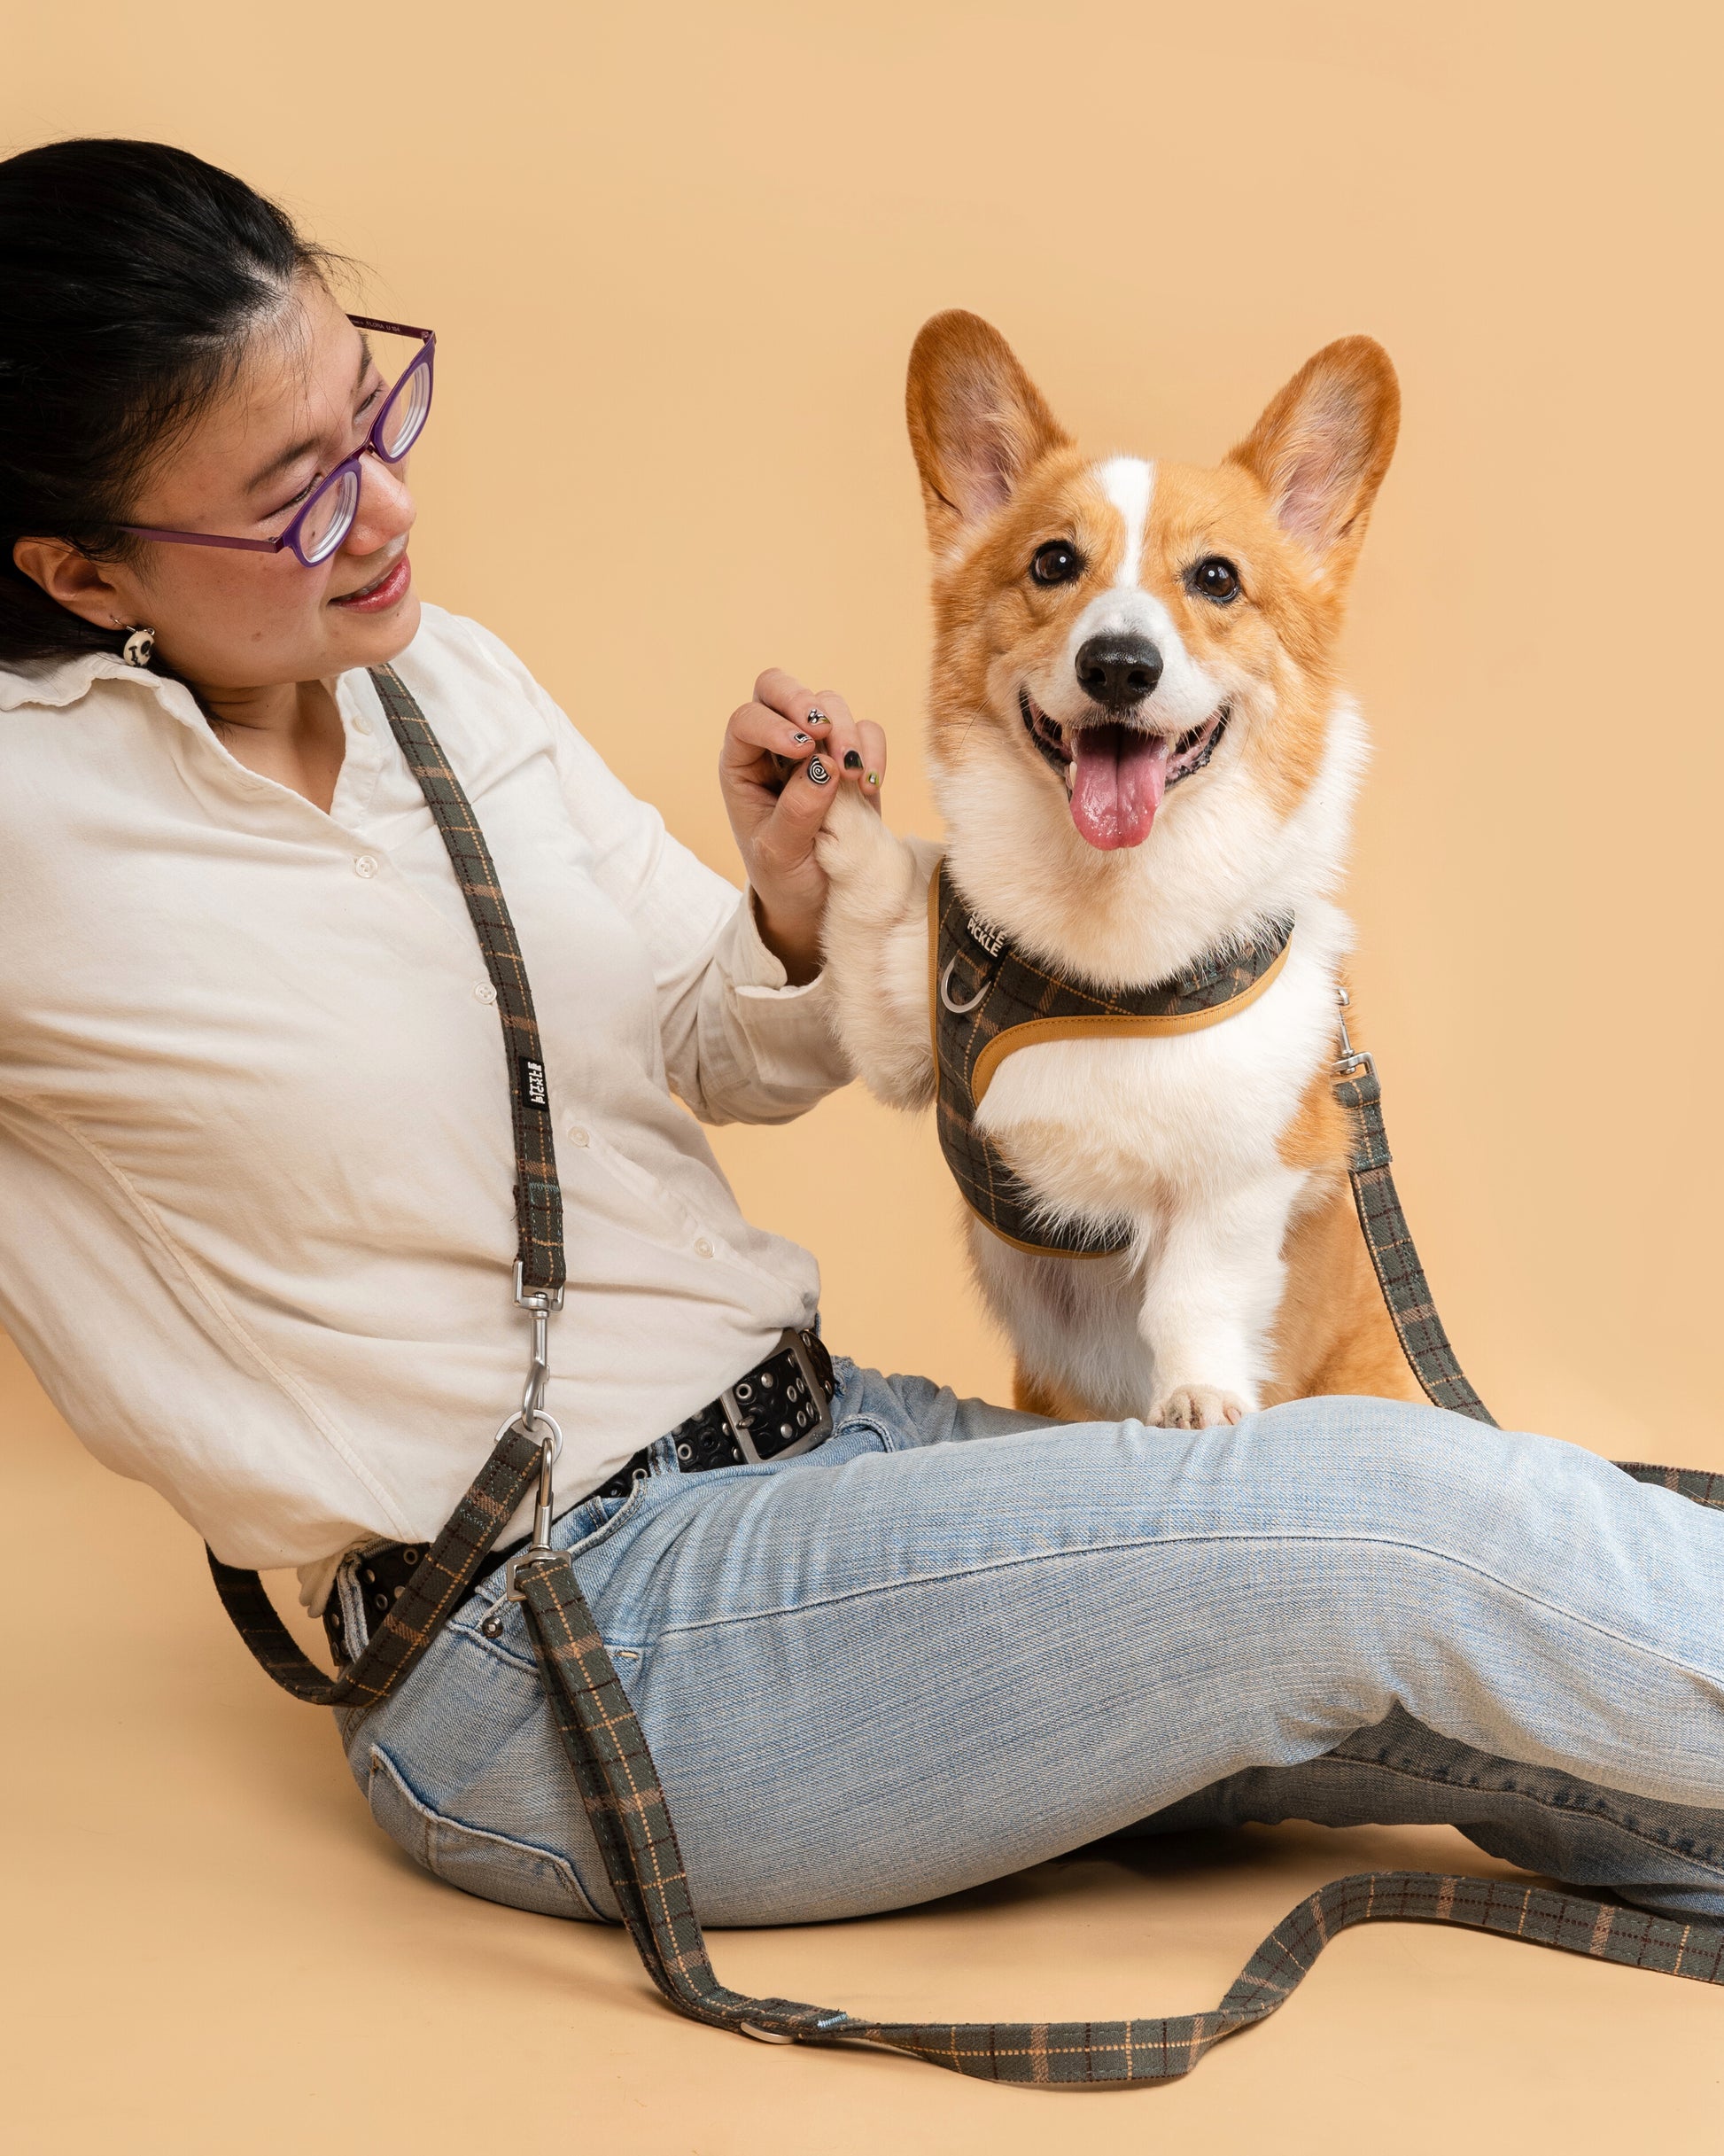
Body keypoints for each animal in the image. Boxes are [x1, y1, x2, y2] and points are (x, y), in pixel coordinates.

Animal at [823, 315, 1431, 1431]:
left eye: (1217, 579)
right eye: (1053, 561)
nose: (1116, 665)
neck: (1105, 932)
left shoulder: (1244, 1174)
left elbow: (1193, 1290)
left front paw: (1196, 1398)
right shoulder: (900, 1025)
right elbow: (877, 896)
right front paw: (827, 774)